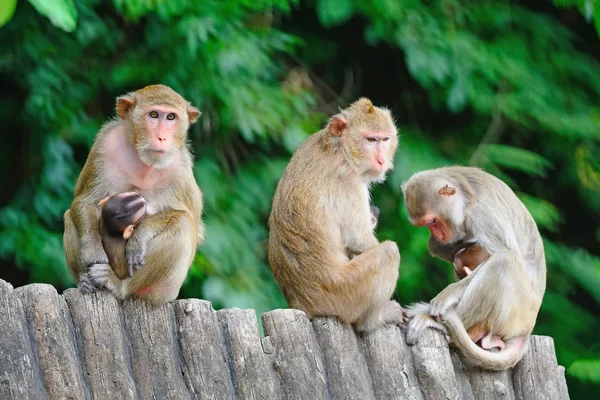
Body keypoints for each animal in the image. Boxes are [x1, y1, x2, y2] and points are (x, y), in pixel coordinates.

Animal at [62, 83, 204, 304]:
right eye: (153, 114)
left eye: (171, 117)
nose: (162, 137)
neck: (144, 164)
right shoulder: (105, 144)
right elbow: (85, 200)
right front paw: (93, 251)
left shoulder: (181, 170)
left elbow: (187, 218)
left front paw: (139, 237)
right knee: (70, 216)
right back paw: (85, 281)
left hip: (162, 292)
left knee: (182, 225)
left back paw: (119, 287)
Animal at [268, 97, 406, 332]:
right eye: (371, 139)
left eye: (385, 139)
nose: (381, 160)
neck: (340, 148)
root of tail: (303, 305)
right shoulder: (349, 181)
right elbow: (358, 238)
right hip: (344, 294)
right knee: (389, 252)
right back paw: (373, 320)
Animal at [400, 165, 548, 368]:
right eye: (426, 225)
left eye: (432, 221)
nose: (438, 235)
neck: (465, 197)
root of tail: (527, 330)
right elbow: (437, 248)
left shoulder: (481, 216)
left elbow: (507, 253)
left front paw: (447, 294)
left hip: (518, 312)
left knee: (504, 261)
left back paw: (439, 323)